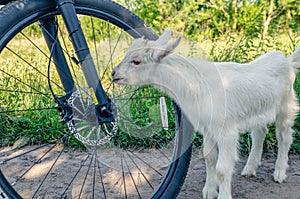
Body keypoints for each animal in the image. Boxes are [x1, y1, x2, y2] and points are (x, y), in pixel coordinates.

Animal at [110, 28, 300, 199]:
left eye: (136, 61)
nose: (113, 73)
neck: (196, 83)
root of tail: (287, 61)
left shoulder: (226, 131)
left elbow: (222, 168)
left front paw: (223, 196)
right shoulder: (208, 129)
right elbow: (209, 159)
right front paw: (209, 191)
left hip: (286, 106)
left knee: (284, 137)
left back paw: (279, 172)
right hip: (259, 110)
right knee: (260, 133)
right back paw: (250, 169)